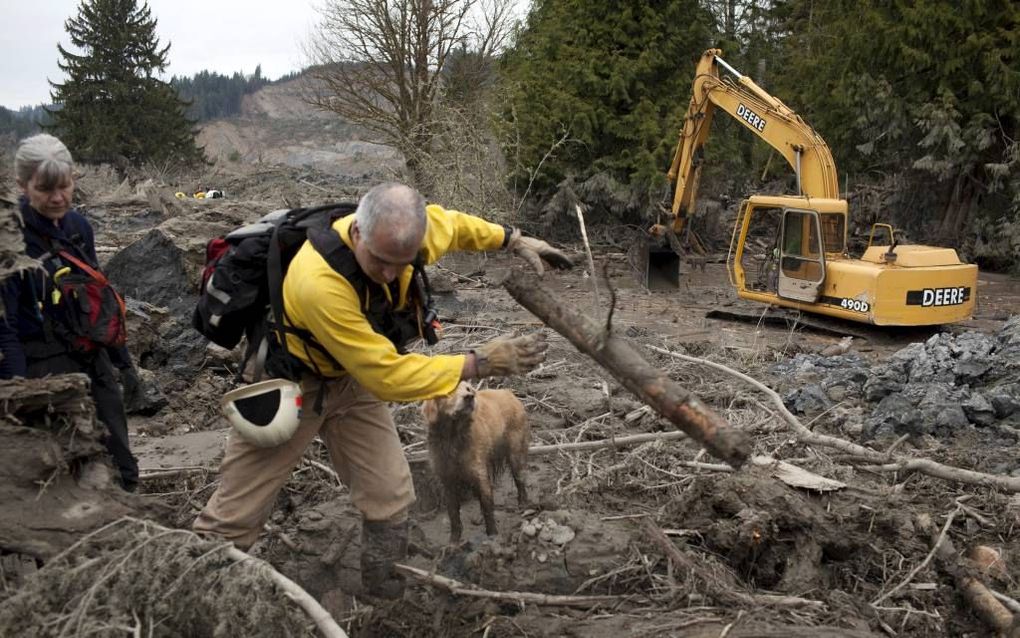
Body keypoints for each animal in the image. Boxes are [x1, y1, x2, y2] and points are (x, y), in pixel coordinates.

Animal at [422, 379, 534, 538]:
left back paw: (523, 504)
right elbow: (453, 513)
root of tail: (510, 393)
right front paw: (454, 539)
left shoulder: (479, 474)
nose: (469, 397)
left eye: (469, 389)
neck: (453, 437)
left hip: (515, 455)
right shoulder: (447, 480)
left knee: (520, 481)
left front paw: (492, 535)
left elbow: (487, 506)